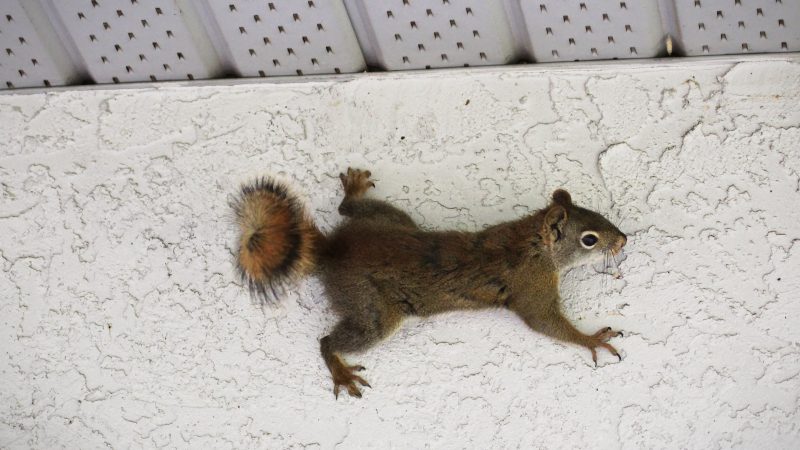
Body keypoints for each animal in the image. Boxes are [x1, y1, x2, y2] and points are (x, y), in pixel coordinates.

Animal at [232, 168, 627, 399]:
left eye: (599, 215)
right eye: (589, 239)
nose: (623, 240)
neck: (531, 242)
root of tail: (333, 250)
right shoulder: (531, 287)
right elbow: (544, 322)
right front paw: (592, 339)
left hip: (391, 219)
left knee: (348, 210)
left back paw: (355, 191)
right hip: (372, 309)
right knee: (329, 340)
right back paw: (341, 371)